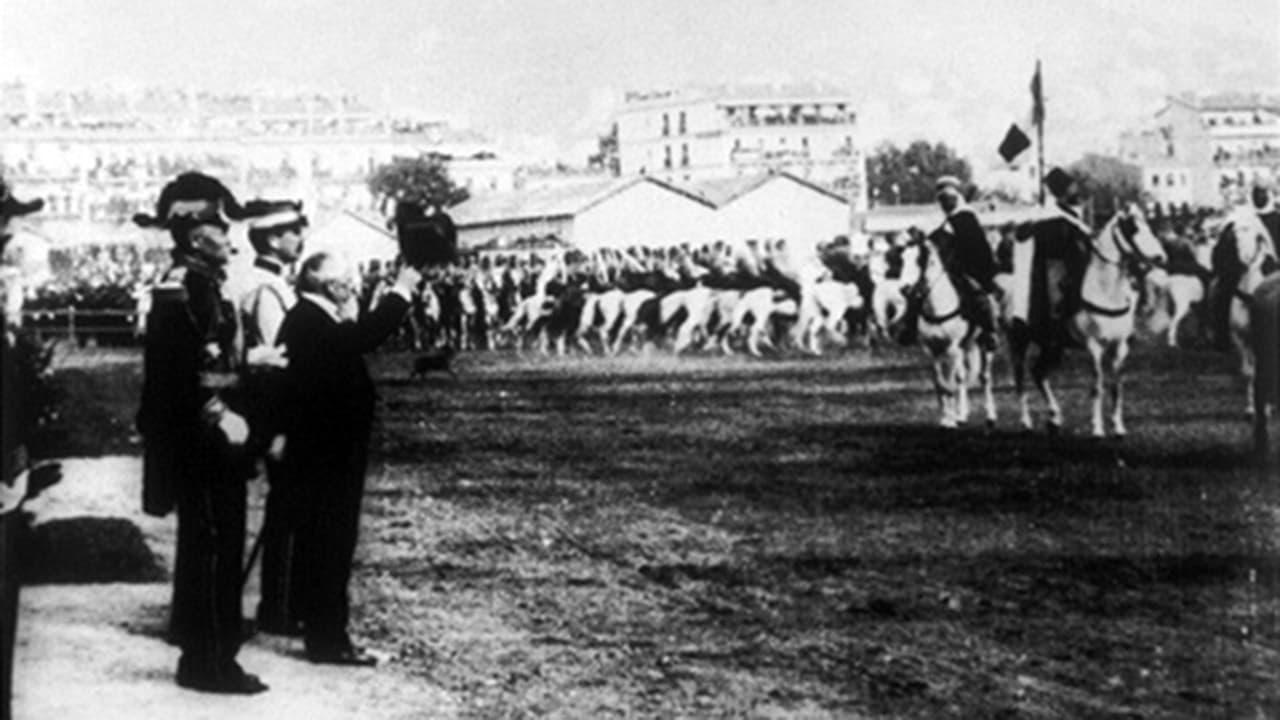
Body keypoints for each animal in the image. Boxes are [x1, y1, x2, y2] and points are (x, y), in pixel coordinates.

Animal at [1008, 204, 1172, 435]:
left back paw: (1054, 418)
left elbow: (1116, 386)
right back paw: (1026, 422)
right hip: (1019, 342)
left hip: (1052, 347)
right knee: (1020, 378)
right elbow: (1097, 386)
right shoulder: (1094, 347)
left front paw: (1118, 427)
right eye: (1132, 228)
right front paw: (1097, 429)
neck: (1106, 291)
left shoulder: (1120, 347)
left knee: (1039, 373)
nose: (1160, 257)